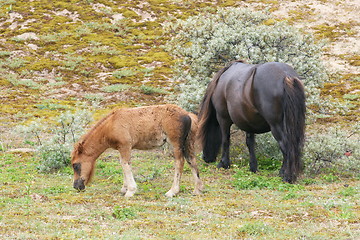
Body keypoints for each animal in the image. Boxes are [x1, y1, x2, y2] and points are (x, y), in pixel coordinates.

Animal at [70, 104, 202, 198]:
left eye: (75, 165)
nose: (76, 186)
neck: (111, 124)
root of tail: (188, 114)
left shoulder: (125, 146)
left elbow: (125, 164)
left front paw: (130, 191)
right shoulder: (122, 148)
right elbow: (124, 165)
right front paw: (124, 188)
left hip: (175, 143)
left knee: (180, 162)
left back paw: (172, 191)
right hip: (187, 143)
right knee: (192, 160)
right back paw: (197, 190)